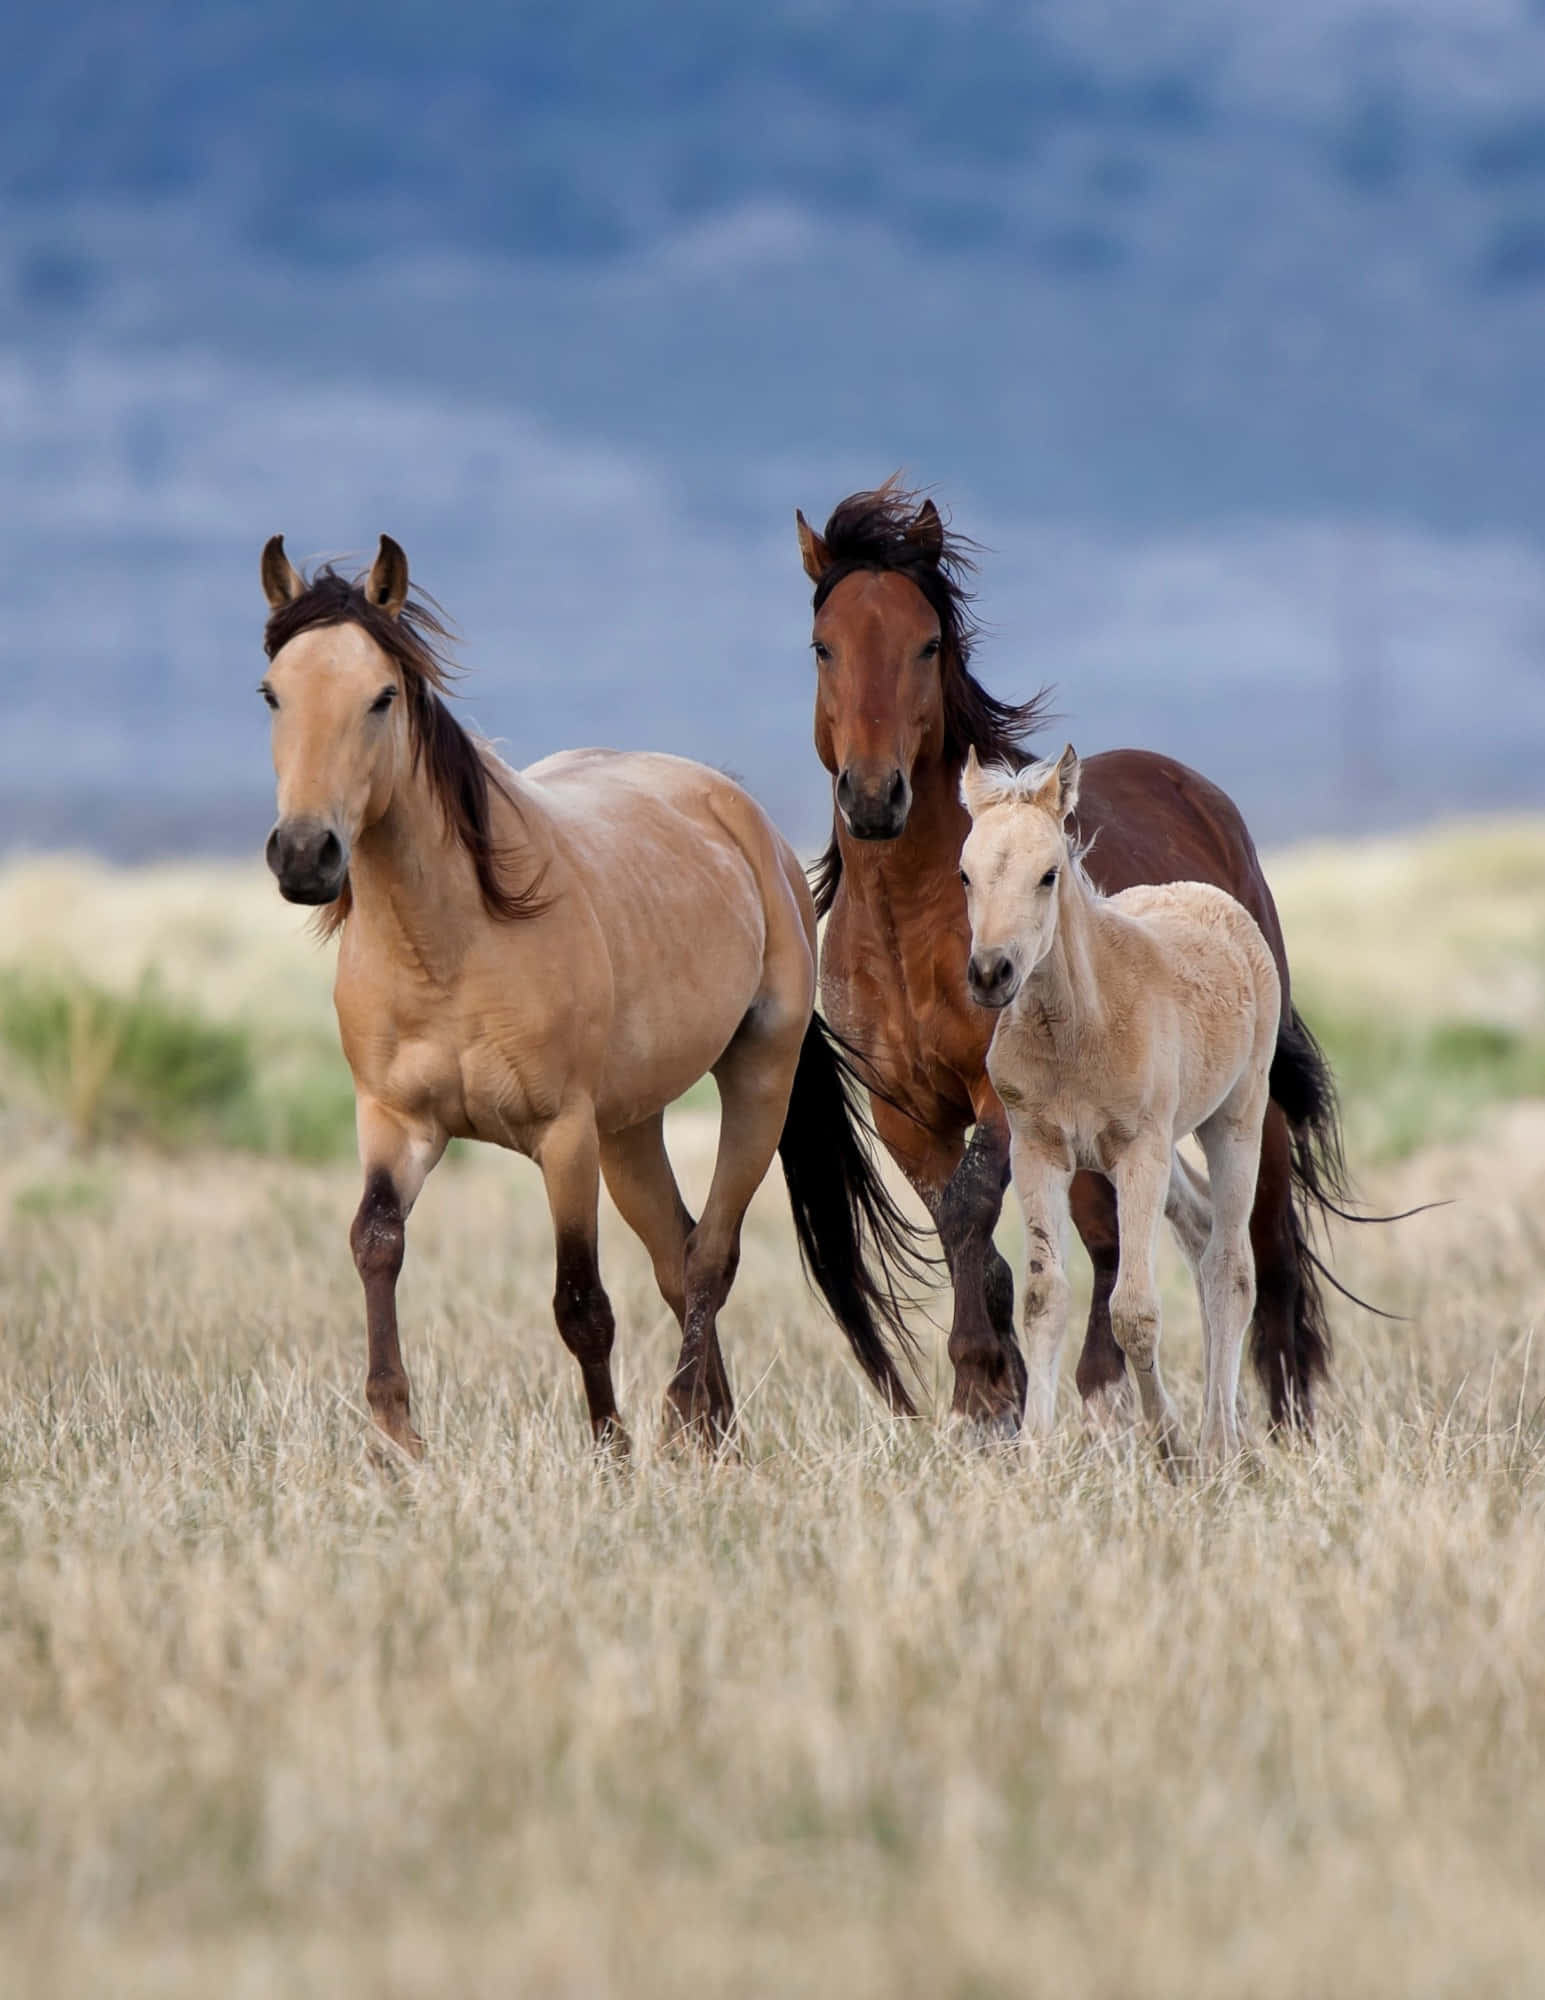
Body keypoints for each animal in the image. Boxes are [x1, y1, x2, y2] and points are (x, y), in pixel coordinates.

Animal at [257, 533, 922, 1457]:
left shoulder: (561, 1136)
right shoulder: (394, 1124)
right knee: (679, 1255)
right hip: (629, 1129)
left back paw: (680, 1423)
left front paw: (610, 1451)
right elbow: (376, 1244)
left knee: (711, 1256)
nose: (304, 854)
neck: (450, 944)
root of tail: (739, 814)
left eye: (381, 696)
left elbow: (582, 1304)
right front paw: (396, 1440)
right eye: (272, 693)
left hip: (753, 1081)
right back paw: (714, 1439)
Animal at [961, 745, 1281, 1464]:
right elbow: (1043, 1297)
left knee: (1229, 1265)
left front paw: (1169, 1444)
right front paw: (1032, 1450)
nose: (991, 974)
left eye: (1048, 875)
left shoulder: (1140, 1152)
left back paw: (1218, 1442)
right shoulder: (1039, 1151)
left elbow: (1133, 1309)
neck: (1078, 1026)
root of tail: (1211, 896)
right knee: (1198, 1230)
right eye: (964, 875)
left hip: (1234, 1118)